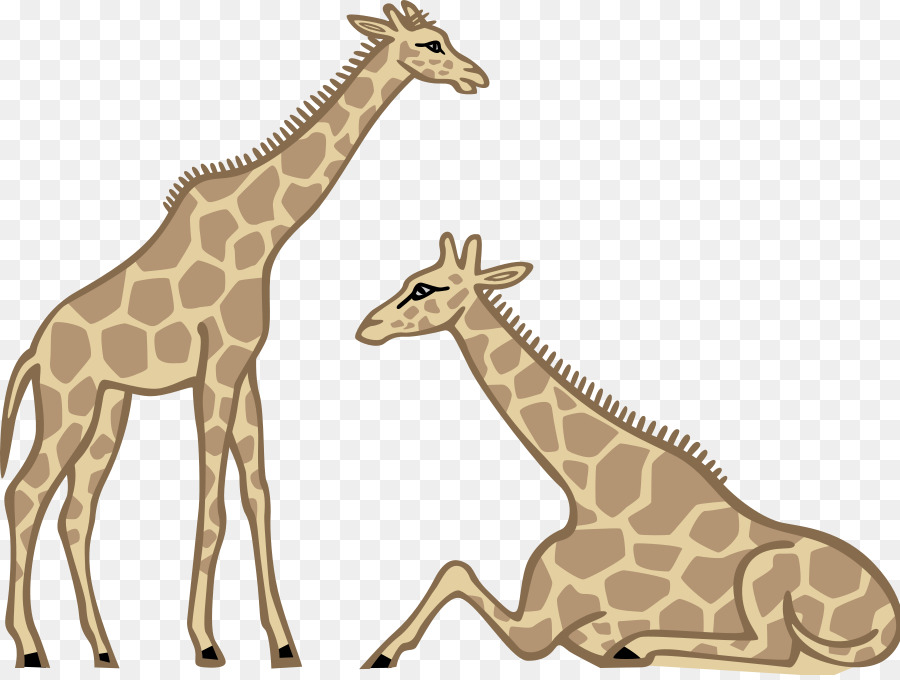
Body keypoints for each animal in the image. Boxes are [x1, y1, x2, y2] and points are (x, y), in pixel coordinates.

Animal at [0, 4, 488, 669]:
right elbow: (214, 504)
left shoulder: (245, 365)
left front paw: (284, 644)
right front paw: (207, 644)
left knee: (75, 513)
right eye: (430, 43)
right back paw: (30, 649)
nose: (476, 77)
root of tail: (31, 351)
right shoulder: (216, 367)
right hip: (67, 402)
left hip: (108, 408)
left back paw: (103, 651)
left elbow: (258, 496)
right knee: (25, 496)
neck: (266, 232)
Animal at [355, 233, 900, 673]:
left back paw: (638, 645)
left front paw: (382, 654)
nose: (367, 328)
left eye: (426, 289)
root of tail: (888, 616)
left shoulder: (540, 627)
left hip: (766, 573)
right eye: (411, 280)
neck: (586, 492)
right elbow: (453, 571)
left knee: (776, 649)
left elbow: (457, 574)